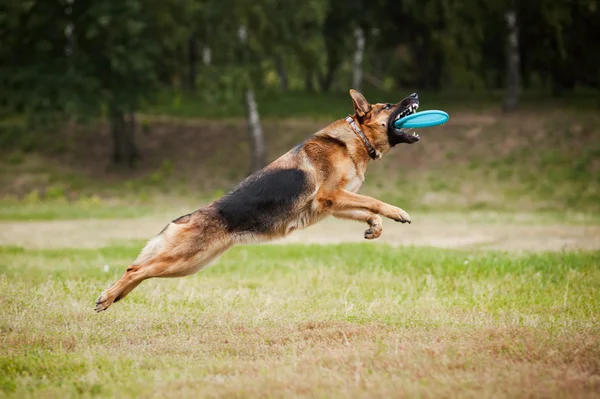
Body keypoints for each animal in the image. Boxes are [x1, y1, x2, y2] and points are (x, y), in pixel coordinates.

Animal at [95, 90, 422, 312]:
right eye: (388, 106)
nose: (416, 94)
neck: (352, 141)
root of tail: (187, 217)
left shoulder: (332, 204)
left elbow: (365, 208)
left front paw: (375, 227)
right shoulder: (331, 195)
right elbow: (374, 200)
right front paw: (398, 212)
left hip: (188, 265)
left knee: (141, 270)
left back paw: (115, 296)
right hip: (183, 260)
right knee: (135, 269)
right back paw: (109, 295)